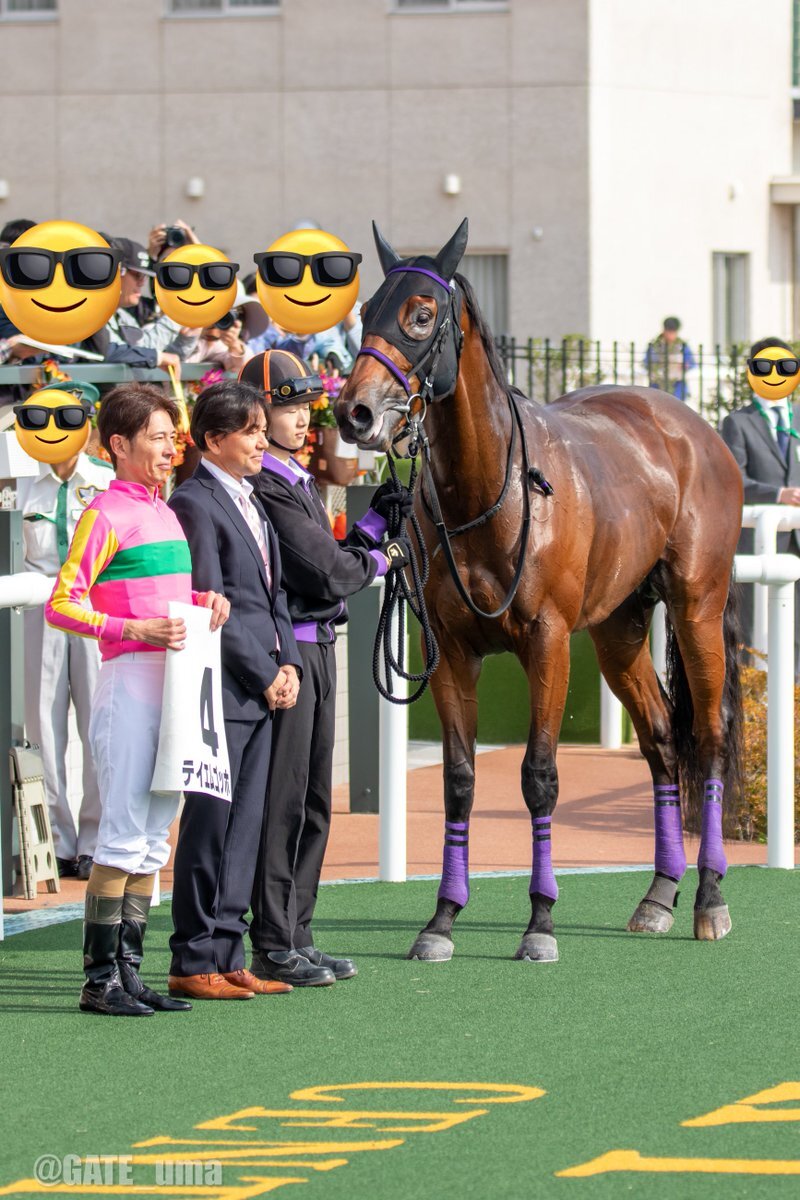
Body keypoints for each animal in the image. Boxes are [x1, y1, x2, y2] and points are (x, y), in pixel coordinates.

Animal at [335, 219, 744, 963]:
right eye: (367, 310)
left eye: (421, 314)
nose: (354, 412)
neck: (487, 493)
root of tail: (691, 426)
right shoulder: (451, 653)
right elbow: (460, 780)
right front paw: (441, 919)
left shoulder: (548, 643)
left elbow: (540, 776)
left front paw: (540, 921)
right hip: (618, 631)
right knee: (660, 740)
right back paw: (658, 894)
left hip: (697, 607)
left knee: (707, 736)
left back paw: (707, 898)